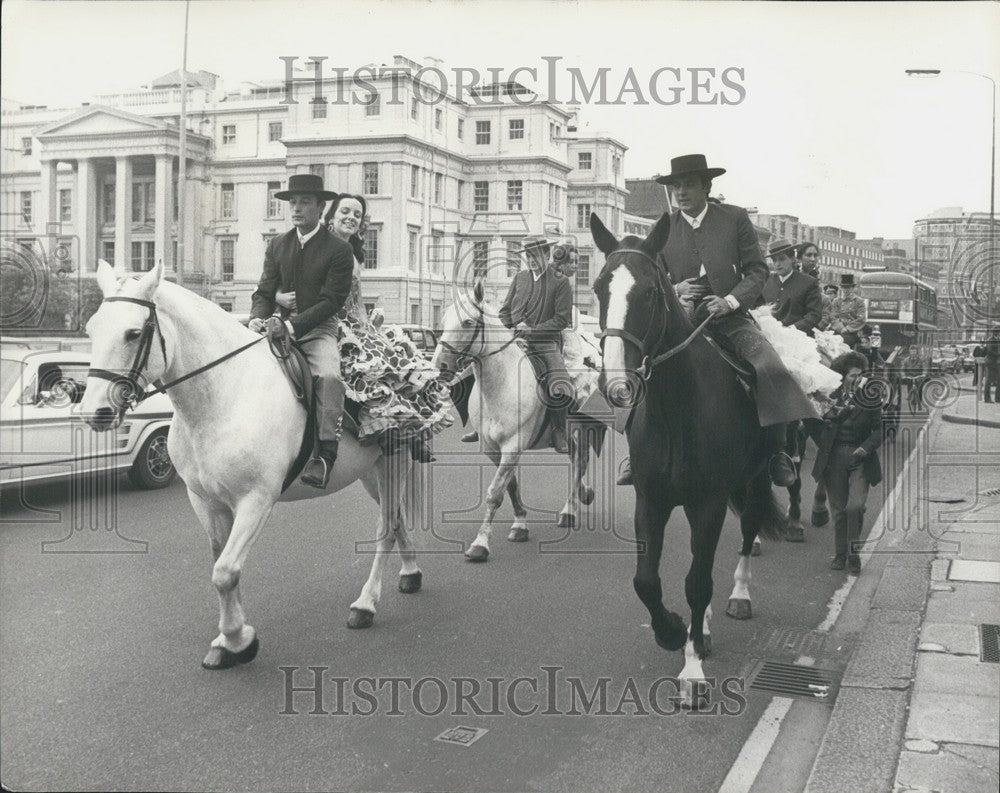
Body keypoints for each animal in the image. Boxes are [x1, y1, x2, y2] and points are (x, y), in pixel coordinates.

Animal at [80, 262, 420, 664]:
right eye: (91, 329)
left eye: (133, 333)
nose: (95, 413)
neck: (224, 395)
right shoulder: (206, 502)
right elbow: (223, 565)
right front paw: (231, 637)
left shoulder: (256, 501)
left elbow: (225, 571)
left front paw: (236, 639)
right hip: (370, 473)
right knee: (396, 517)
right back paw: (410, 572)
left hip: (393, 464)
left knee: (387, 527)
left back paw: (366, 604)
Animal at [428, 282, 592, 560]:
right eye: (443, 319)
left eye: (468, 322)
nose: (439, 367)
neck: (501, 384)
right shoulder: (493, 448)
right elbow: (510, 485)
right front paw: (520, 525)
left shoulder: (513, 445)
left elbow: (495, 493)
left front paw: (480, 543)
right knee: (577, 461)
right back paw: (581, 496)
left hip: (582, 429)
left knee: (580, 462)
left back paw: (570, 510)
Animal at [588, 213, 784, 704]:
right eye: (599, 287)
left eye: (649, 292)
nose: (616, 382)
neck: (677, 407)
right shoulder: (651, 502)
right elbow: (646, 581)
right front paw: (675, 632)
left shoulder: (708, 503)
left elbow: (697, 582)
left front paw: (692, 670)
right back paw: (704, 629)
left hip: (753, 480)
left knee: (746, 532)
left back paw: (738, 598)